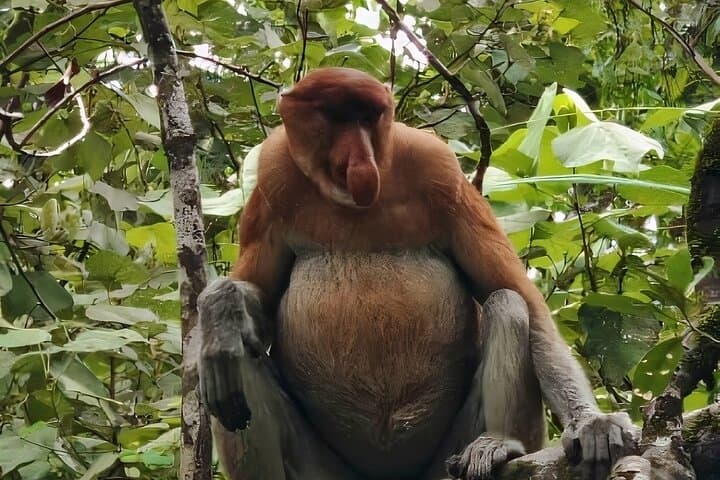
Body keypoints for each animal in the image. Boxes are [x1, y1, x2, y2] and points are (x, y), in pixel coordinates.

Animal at [198, 67, 638, 480]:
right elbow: (258, 297)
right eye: (336, 118)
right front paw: (221, 306)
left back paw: (497, 446)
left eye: (367, 118)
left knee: (507, 304)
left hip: (448, 456)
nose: (361, 161)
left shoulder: (438, 167)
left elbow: (518, 296)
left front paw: (594, 424)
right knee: (238, 356)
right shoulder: (274, 176)